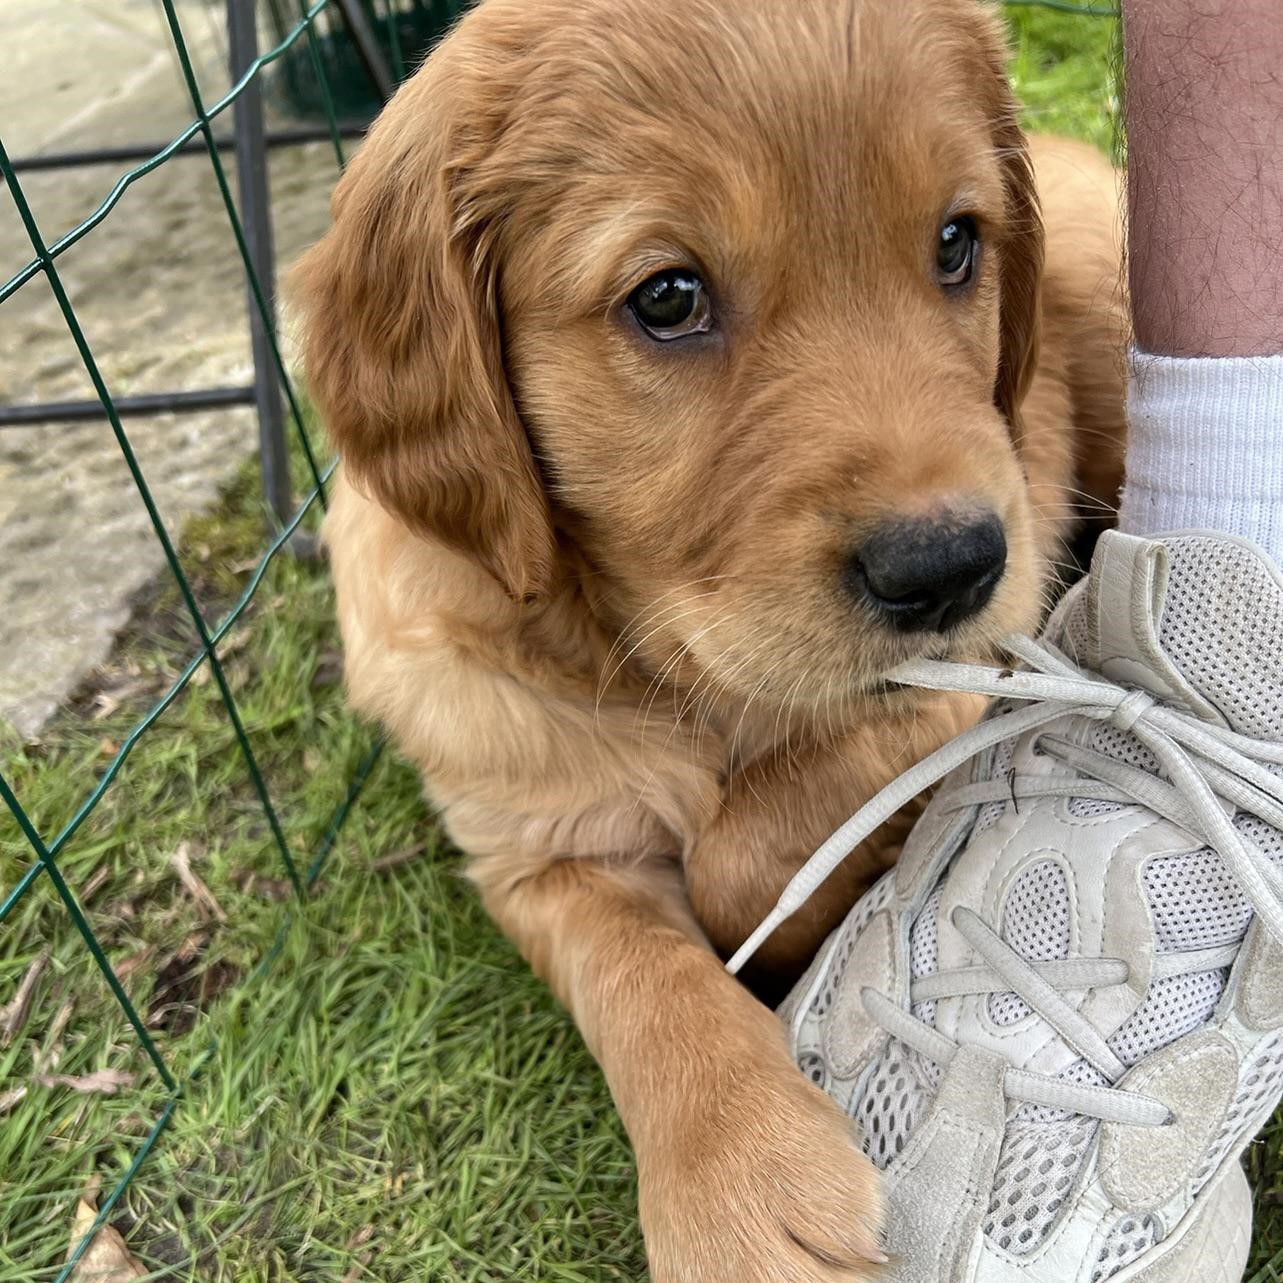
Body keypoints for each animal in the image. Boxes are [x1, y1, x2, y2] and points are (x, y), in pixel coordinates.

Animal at [291, 2, 1123, 1272]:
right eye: (667, 297)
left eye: (953, 243)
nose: (949, 566)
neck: (649, 658)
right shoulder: (534, 837)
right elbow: (642, 976)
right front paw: (739, 1183)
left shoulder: (977, 669)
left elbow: (739, 858)